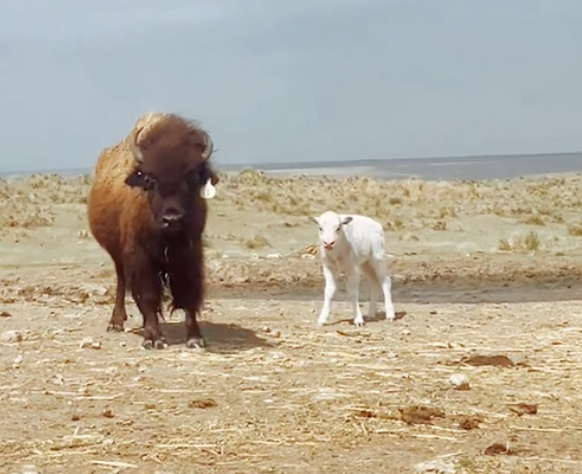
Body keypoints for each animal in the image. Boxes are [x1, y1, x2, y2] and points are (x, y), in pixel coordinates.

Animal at [88, 111, 220, 348]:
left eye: (193, 177)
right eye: (150, 179)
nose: (172, 218)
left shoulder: (190, 254)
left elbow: (188, 294)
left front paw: (195, 338)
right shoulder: (140, 256)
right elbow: (148, 295)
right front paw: (154, 339)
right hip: (118, 254)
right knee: (122, 283)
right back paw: (116, 323)